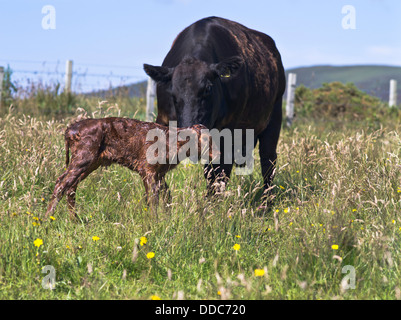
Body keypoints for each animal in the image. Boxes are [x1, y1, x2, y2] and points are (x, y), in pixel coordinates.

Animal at [45, 117, 217, 220]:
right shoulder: (148, 170)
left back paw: (74, 220)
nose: (219, 153)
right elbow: (153, 199)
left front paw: (167, 219)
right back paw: (46, 219)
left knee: (71, 186)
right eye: (206, 139)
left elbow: (167, 197)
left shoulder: (160, 173)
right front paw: (154, 223)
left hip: (91, 162)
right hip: (83, 158)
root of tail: (70, 130)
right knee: (61, 184)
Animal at [144, 16, 284, 199]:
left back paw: (266, 202)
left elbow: (218, 173)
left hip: (274, 116)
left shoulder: (228, 131)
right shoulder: (163, 119)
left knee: (268, 162)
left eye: (208, 89)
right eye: (172, 92)